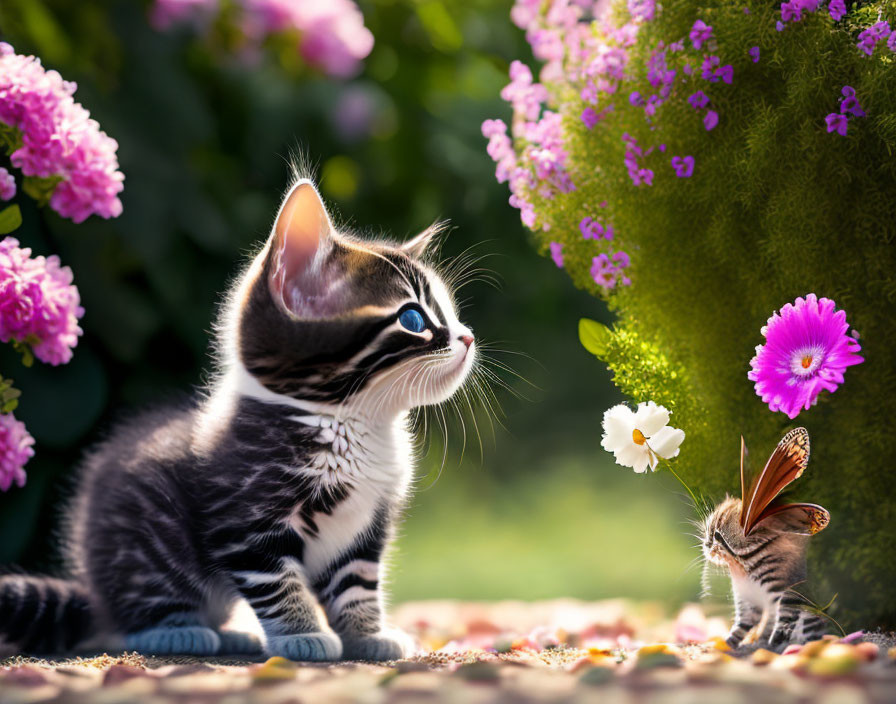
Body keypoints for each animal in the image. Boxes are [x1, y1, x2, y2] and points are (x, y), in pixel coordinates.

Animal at [0, 177, 476, 660]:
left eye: (452, 314)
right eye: (413, 318)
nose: (468, 337)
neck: (351, 422)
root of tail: (94, 590)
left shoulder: (365, 527)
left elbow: (357, 584)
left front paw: (368, 635)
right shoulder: (246, 521)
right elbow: (280, 583)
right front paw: (302, 635)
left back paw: (231, 632)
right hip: (143, 543)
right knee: (129, 618)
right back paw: (178, 631)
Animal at [700, 428, 832, 656]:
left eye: (716, 536)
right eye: (708, 533)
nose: (706, 546)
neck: (744, 566)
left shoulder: (784, 595)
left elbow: (781, 622)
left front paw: (773, 644)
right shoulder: (747, 602)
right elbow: (740, 628)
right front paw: (728, 646)